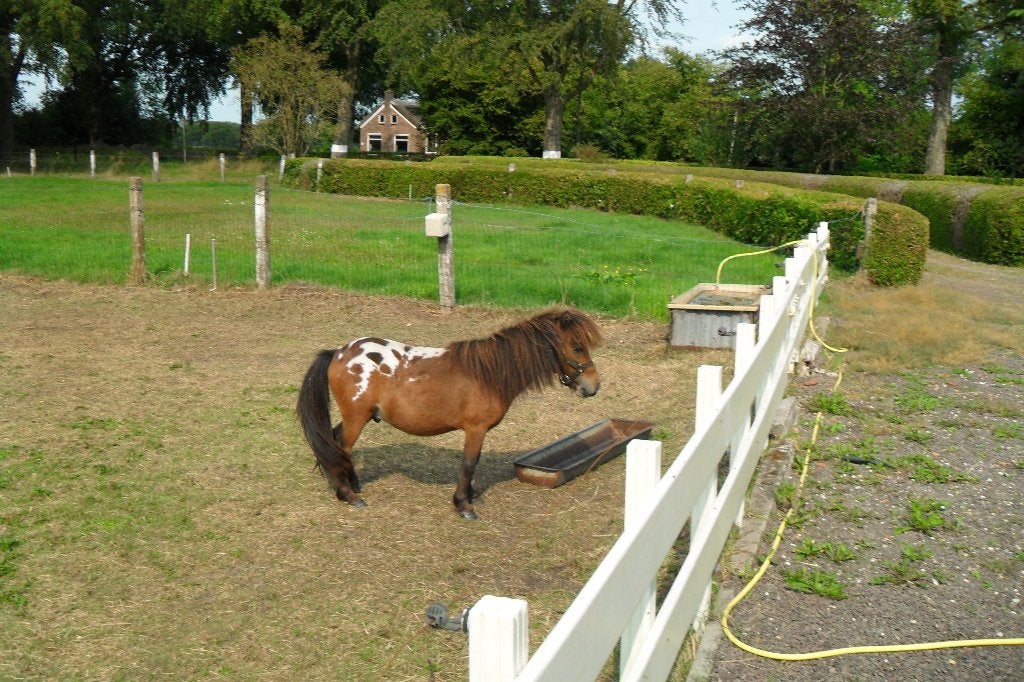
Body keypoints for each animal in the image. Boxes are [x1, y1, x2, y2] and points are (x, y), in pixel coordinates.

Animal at [296, 307, 602, 520]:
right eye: (577, 347)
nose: (593, 386)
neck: (488, 374)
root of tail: (338, 352)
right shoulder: (475, 429)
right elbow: (469, 464)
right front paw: (464, 505)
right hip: (356, 417)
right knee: (342, 446)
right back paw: (348, 494)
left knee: (334, 443)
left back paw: (347, 483)